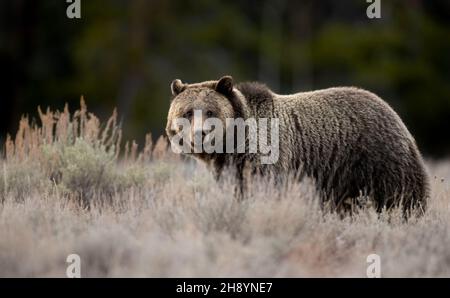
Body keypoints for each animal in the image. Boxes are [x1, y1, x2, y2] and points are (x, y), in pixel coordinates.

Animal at [165, 74, 428, 214]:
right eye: (188, 112)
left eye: (210, 111)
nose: (199, 134)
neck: (233, 145)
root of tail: (392, 111)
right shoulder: (228, 169)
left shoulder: (265, 157)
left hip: (377, 158)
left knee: (401, 194)